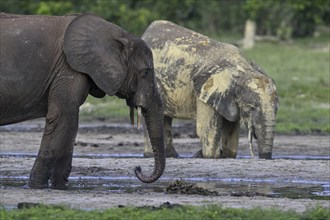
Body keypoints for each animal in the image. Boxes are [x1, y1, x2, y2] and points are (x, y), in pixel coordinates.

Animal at [0, 12, 165, 189]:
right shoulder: (69, 68)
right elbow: (64, 117)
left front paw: (59, 186)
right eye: (145, 73)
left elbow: (69, 123)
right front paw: (37, 186)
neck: (119, 35)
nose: (138, 168)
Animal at [142, 20, 278, 160]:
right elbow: (207, 129)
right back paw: (151, 155)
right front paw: (210, 156)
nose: (264, 157)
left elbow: (231, 129)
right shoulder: (204, 91)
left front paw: (226, 156)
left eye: (276, 109)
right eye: (251, 108)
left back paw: (172, 156)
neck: (242, 70)